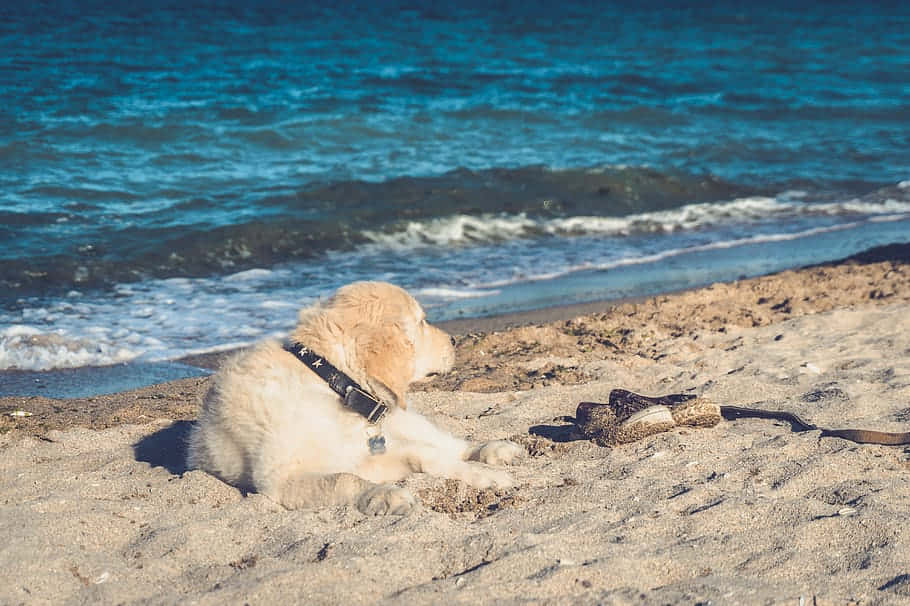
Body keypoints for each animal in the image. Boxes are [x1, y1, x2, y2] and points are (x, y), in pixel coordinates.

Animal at [187, 282, 520, 516]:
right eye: (422, 322)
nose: (454, 340)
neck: (330, 381)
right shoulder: (284, 478)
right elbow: (346, 478)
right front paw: (387, 494)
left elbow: (427, 455)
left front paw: (484, 474)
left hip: (405, 420)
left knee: (445, 442)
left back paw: (492, 450)